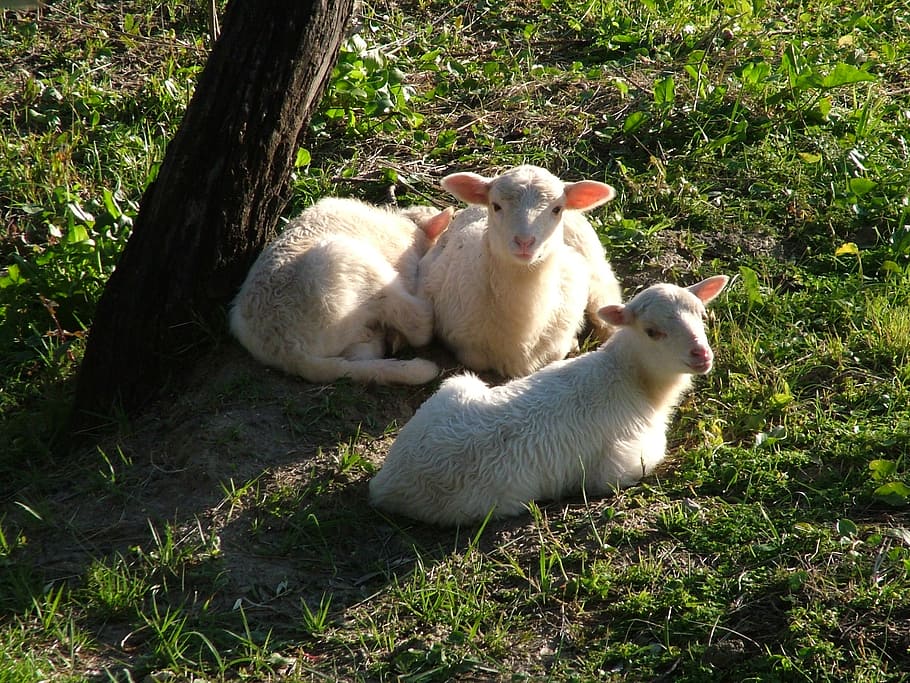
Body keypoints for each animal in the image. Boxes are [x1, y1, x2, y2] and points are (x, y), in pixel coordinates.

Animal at [229, 197, 453, 385]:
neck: (407, 224)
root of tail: (288, 351)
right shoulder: (406, 264)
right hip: (355, 263)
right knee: (420, 324)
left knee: (360, 355)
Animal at [368, 275, 729, 526]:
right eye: (652, 331)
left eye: (701, 315)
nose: (701, 354)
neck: (630, 377)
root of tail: (386, 483)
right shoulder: (623, 463)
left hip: (456, 387)